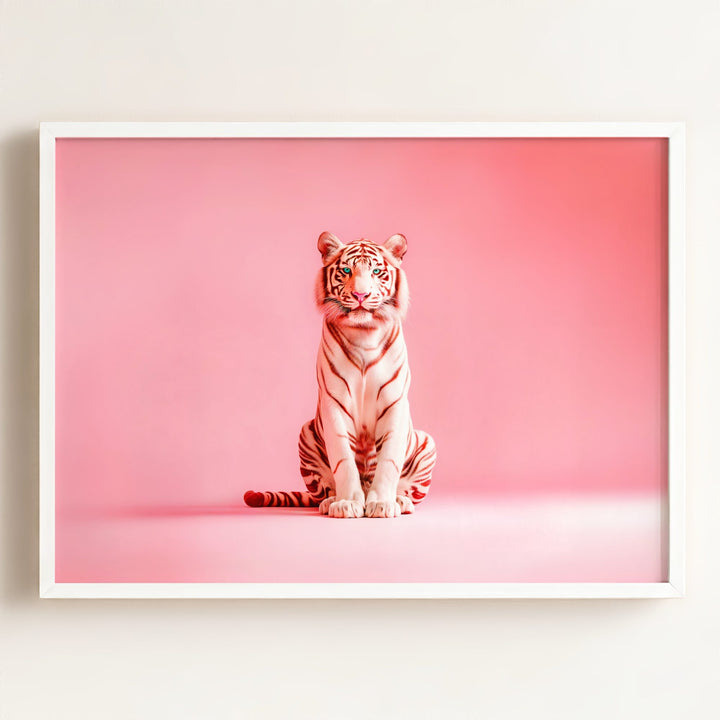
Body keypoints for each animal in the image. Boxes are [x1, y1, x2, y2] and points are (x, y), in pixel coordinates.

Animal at [244, 231, 436, 518]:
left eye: (376, 271)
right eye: (346, 270)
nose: (360, 294)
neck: (364, 333)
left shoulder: (394, 403)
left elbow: (389, 459)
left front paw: (382, 503)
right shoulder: (334, 401)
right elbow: (343, 459)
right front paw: (347, 503)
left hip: (426, 441)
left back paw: (400, 501)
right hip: (306, 434)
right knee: (322, 492)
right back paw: (330, 501)